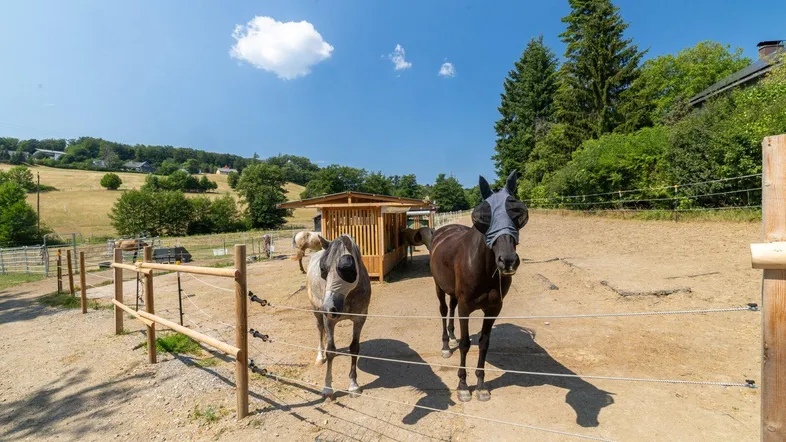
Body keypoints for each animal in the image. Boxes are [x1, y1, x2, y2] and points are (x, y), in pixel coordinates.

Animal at [306, 234, 371, 399]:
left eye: (346, 268)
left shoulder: (360, 319)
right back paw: (319, 357)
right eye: (323, 269)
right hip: (316, 311)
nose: (329, 308)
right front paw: (327, 388)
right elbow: (330, 351)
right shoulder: (329, 320)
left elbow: (354, 348)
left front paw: (353, 386)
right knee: (319, 330)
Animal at [429, 171, 529, 403]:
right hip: (439, 287)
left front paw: (481, 385)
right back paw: (446, 345)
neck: (483, 267)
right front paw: (463, 386)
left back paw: (452, 337)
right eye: (483, 216)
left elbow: (484, 343)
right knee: (444, 310)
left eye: (518, 213)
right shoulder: (466, 308)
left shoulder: (493, 309)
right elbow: (466, 344)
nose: (508, 260)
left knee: (451, 307)